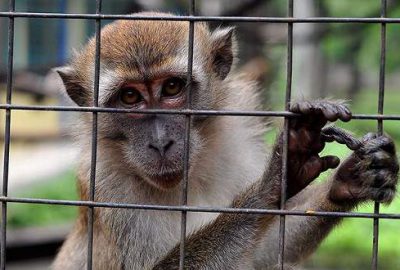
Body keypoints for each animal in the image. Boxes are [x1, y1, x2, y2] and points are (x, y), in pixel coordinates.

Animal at [52, 12, 396, 270]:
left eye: (172, 87)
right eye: (129, 97)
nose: (160, 142)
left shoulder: (239, 140)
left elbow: (266, 251)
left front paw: (348, 180)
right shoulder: (105, 184)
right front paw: (278, 177)